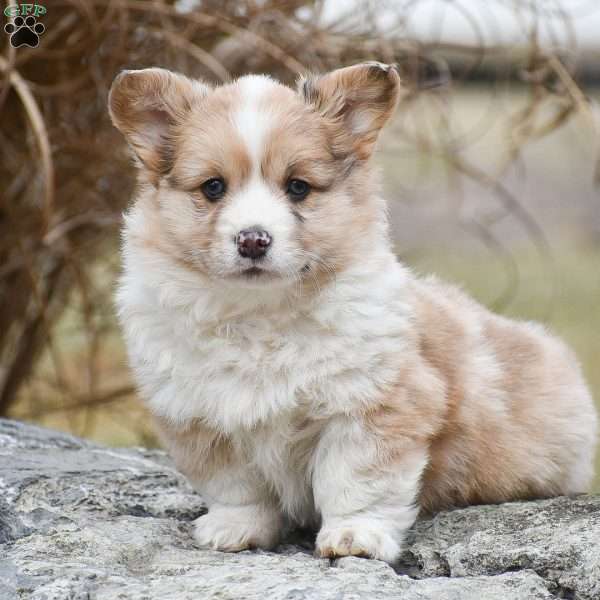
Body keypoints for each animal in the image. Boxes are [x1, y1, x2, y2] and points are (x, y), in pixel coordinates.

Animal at [110, 62, 596, 564]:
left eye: (298, 187)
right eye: (213, 187)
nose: (253, 239)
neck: (261, 314)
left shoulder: (372, 408)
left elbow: (354, 482)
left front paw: (354, 537)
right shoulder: (200, 419)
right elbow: (237, 488)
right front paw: (234, 530)